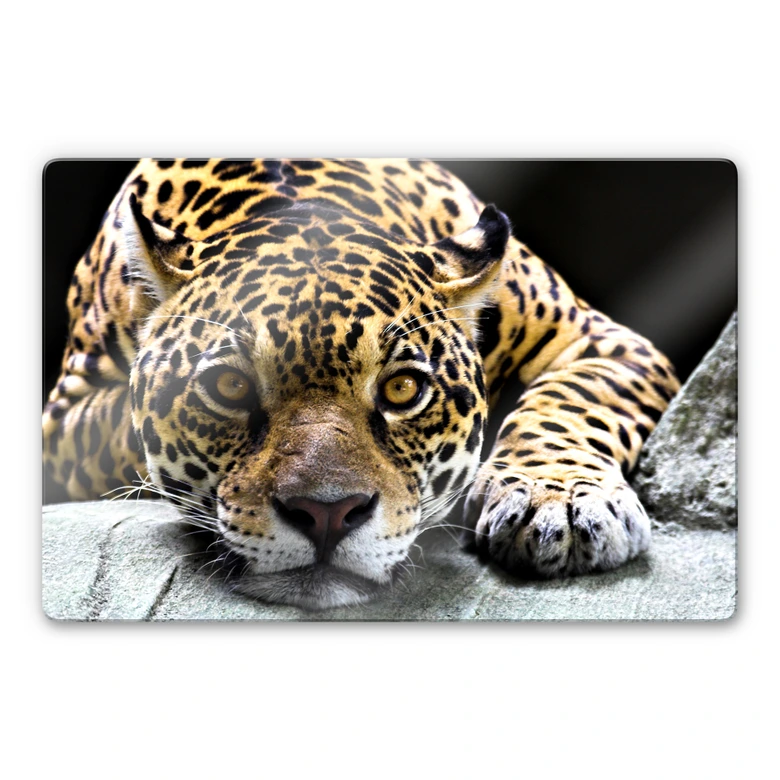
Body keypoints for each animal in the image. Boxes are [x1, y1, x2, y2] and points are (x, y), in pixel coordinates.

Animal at [42, 158, 680, 610]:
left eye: (403, 390)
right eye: (229, 388)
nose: (327, 514)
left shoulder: (599, 341)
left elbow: (568, 406)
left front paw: (561, 506)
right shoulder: (65, 422)